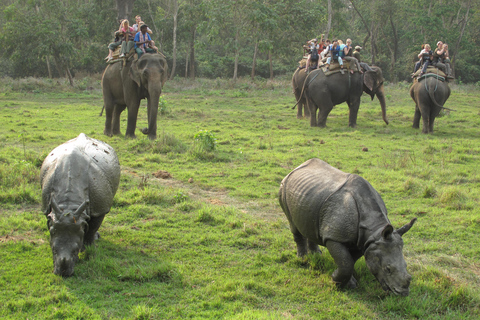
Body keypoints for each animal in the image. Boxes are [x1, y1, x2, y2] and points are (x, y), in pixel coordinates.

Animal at [40, 134, 121, 276]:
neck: (69, 203)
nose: (63, 273)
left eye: (75, 251)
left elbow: (92, 227)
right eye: (53, 250)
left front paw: (88, 248)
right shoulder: (48, 206)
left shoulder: (99, 208)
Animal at [278, 159, 416, 296]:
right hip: (283, 188)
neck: (375, 231)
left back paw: (316, 255)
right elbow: (346, 263)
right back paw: (303, 259)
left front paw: (348, 283)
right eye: (387, 269)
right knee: (293, 224)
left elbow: (350, 260)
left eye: (406, 265)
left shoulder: (365, 241)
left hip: (310, 195)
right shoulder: (334, 237)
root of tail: (295, 168)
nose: (403, 293)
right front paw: (336, 281)